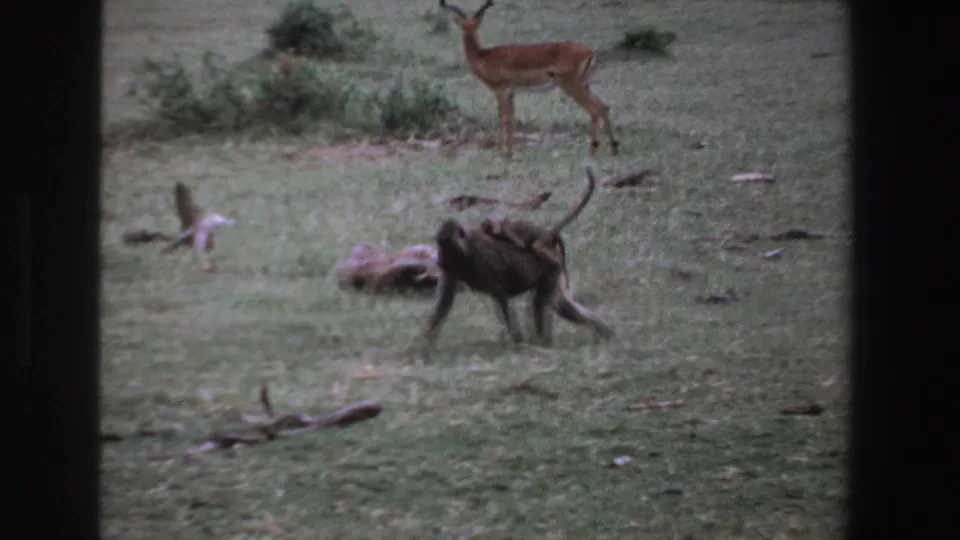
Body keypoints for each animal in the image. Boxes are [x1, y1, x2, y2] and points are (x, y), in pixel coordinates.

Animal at [418, 166, 613, 357]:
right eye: (440, 244)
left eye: (445, 244)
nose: (439, 261)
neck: (465, 252)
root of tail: (548, 237)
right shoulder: (452, 268)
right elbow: (444, 304)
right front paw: (424, 348)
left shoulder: (483, 262)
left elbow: (502, 297)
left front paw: (518, 343)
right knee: (559, 305)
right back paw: (600, 329)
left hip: (551, 265)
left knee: (540, 302)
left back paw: (543, 342)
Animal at [439, 0, 619, 158]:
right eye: (465, 25)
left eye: (473, 26)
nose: (469, 32)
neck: (484, 57)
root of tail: (591, 53)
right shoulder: (511, 92)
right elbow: (511, 119)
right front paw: (510, 152)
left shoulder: (501, 90)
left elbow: (503, 118)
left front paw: (502, 153)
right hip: (585, 85)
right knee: (604, 107)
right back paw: (614, 148)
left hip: (572, 86)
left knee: (595, 110)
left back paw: (592, 152)